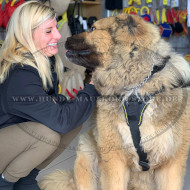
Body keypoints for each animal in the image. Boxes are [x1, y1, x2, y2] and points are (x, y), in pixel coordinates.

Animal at [39, 14, 190, 189]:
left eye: (92, 28)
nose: (64, 38)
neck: (135, 88)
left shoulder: (171, 163)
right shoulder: (114, 159)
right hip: (87, 151)